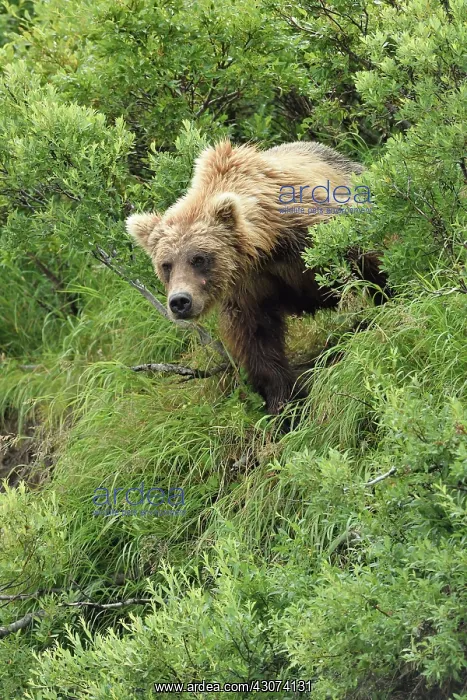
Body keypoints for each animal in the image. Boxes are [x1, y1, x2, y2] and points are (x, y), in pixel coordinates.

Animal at [126, 140, 386, 414]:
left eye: (199, 258)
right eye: (166, 265)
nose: (179, 301)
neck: (266, 244)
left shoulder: (313, 231)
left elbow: (366, 257)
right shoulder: (247, 287)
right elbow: (256, 340)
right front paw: (283, 405)